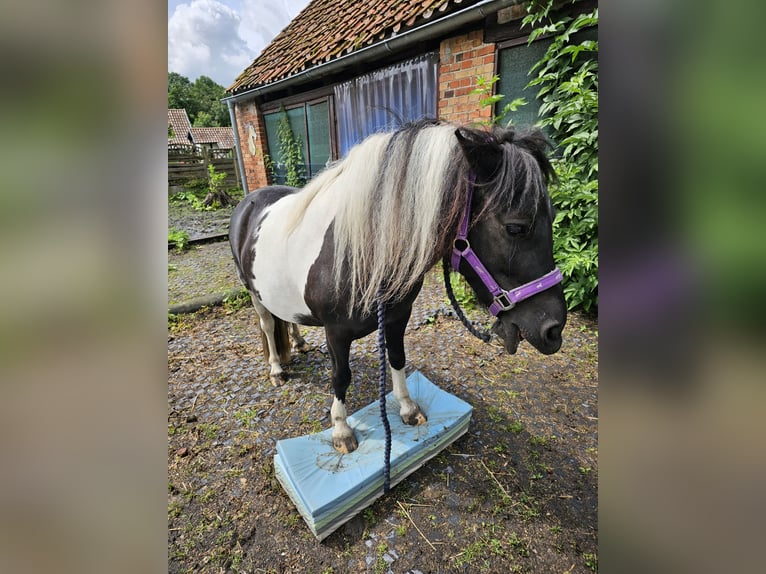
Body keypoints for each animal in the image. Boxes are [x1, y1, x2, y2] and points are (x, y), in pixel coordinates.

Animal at [231, 120, 568, 454]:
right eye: (515, 228)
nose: (553, 330)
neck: (361, 250)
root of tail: (249, 200)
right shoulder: (335, 332)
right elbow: (341, 376)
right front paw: (341, 429)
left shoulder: (397, 317)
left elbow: (397, 358)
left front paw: (407, 408)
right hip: (253, 294)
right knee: (267, 325)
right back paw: (277, 369)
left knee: (286, 319)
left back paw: (299, 342)